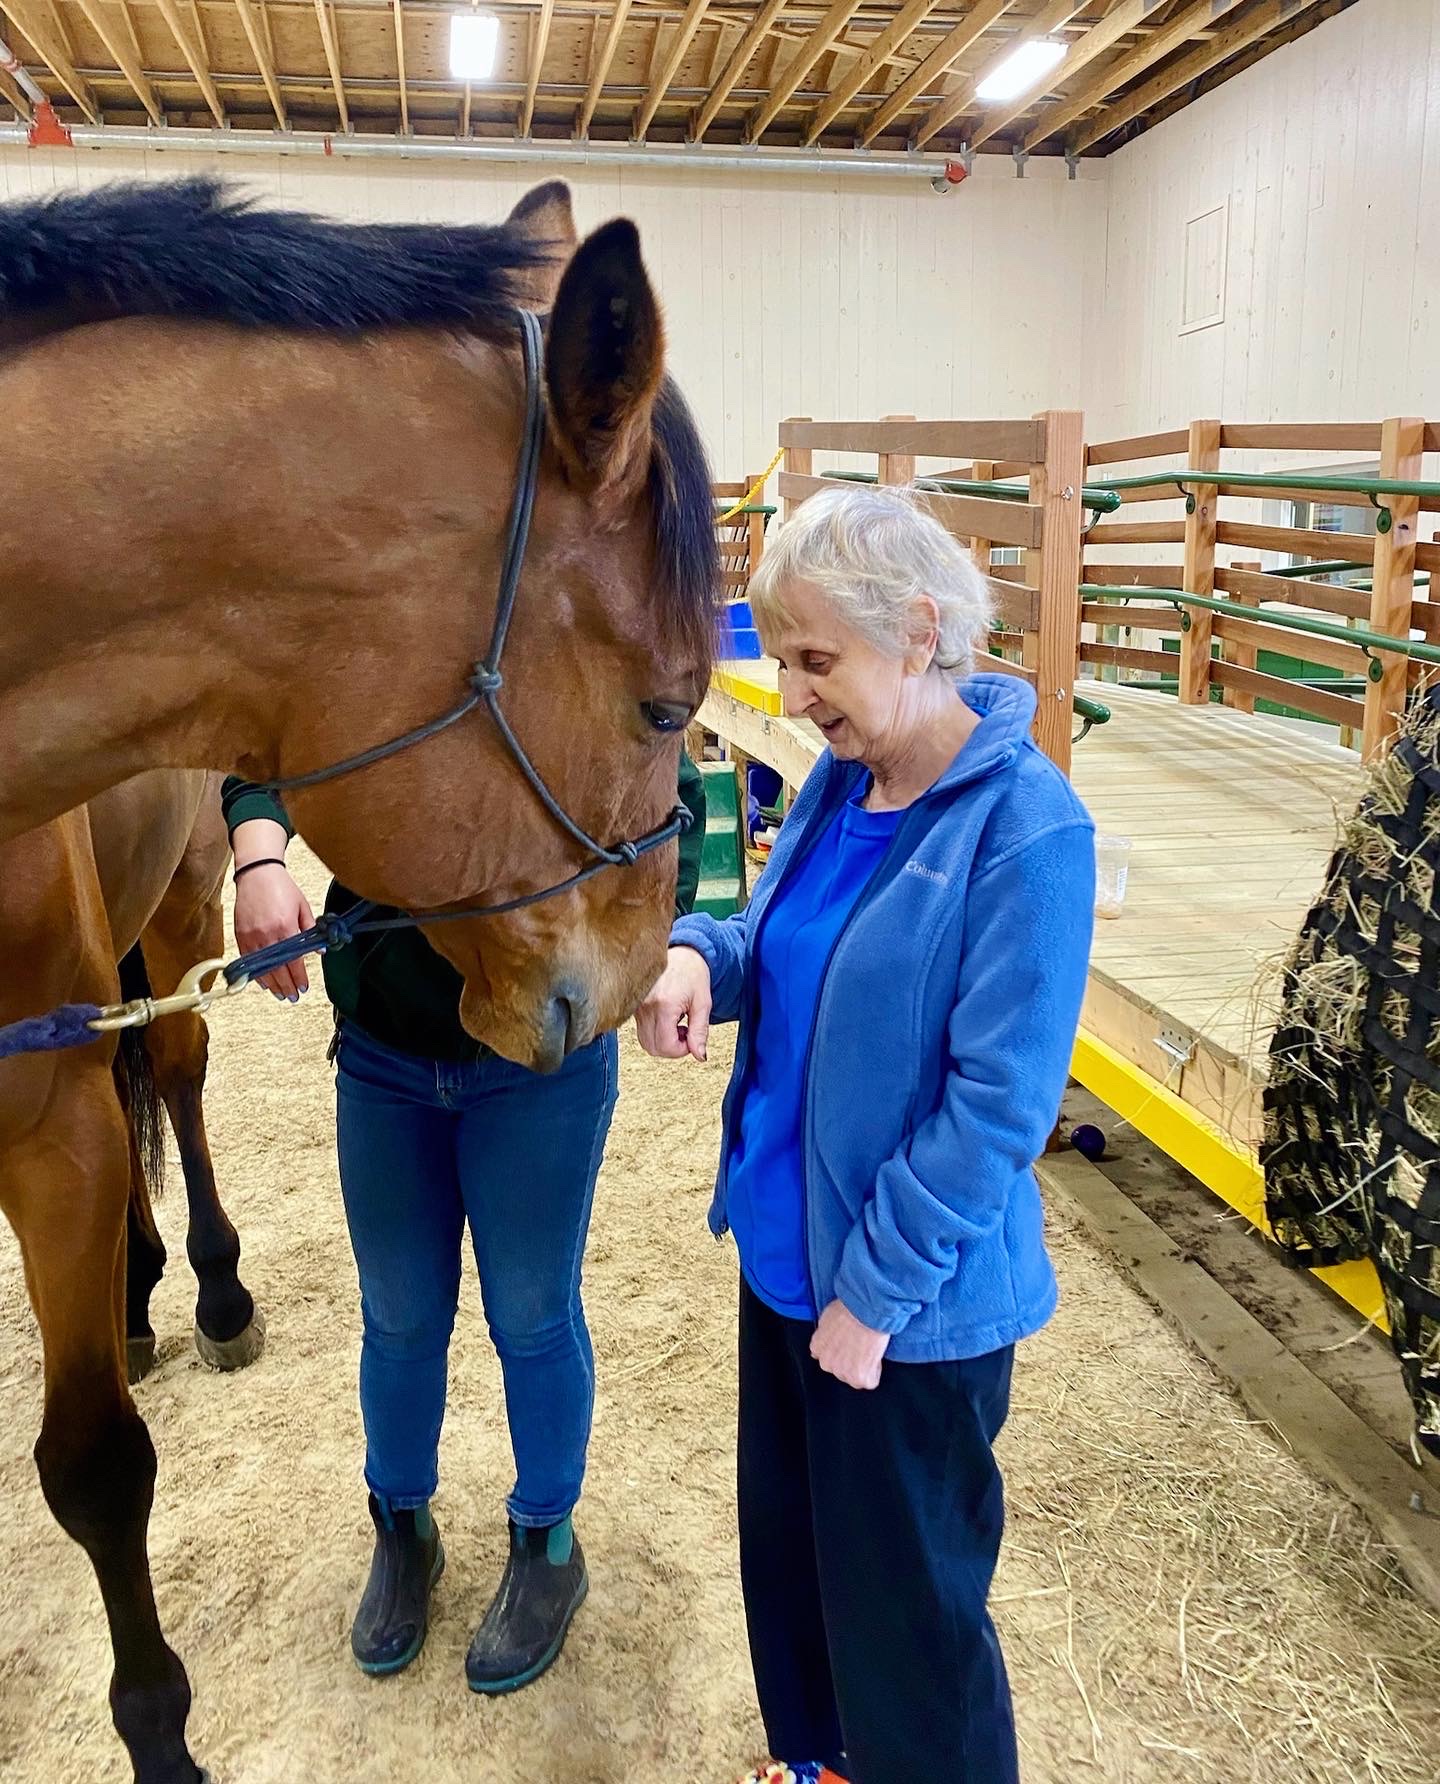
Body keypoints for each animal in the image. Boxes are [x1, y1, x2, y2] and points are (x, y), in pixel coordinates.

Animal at [0, 175, 716, 1784]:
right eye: (666, 706)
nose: (641, 976)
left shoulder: (51, 1120)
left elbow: (95, 1464)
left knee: (174, 1084)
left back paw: (188, 1293)